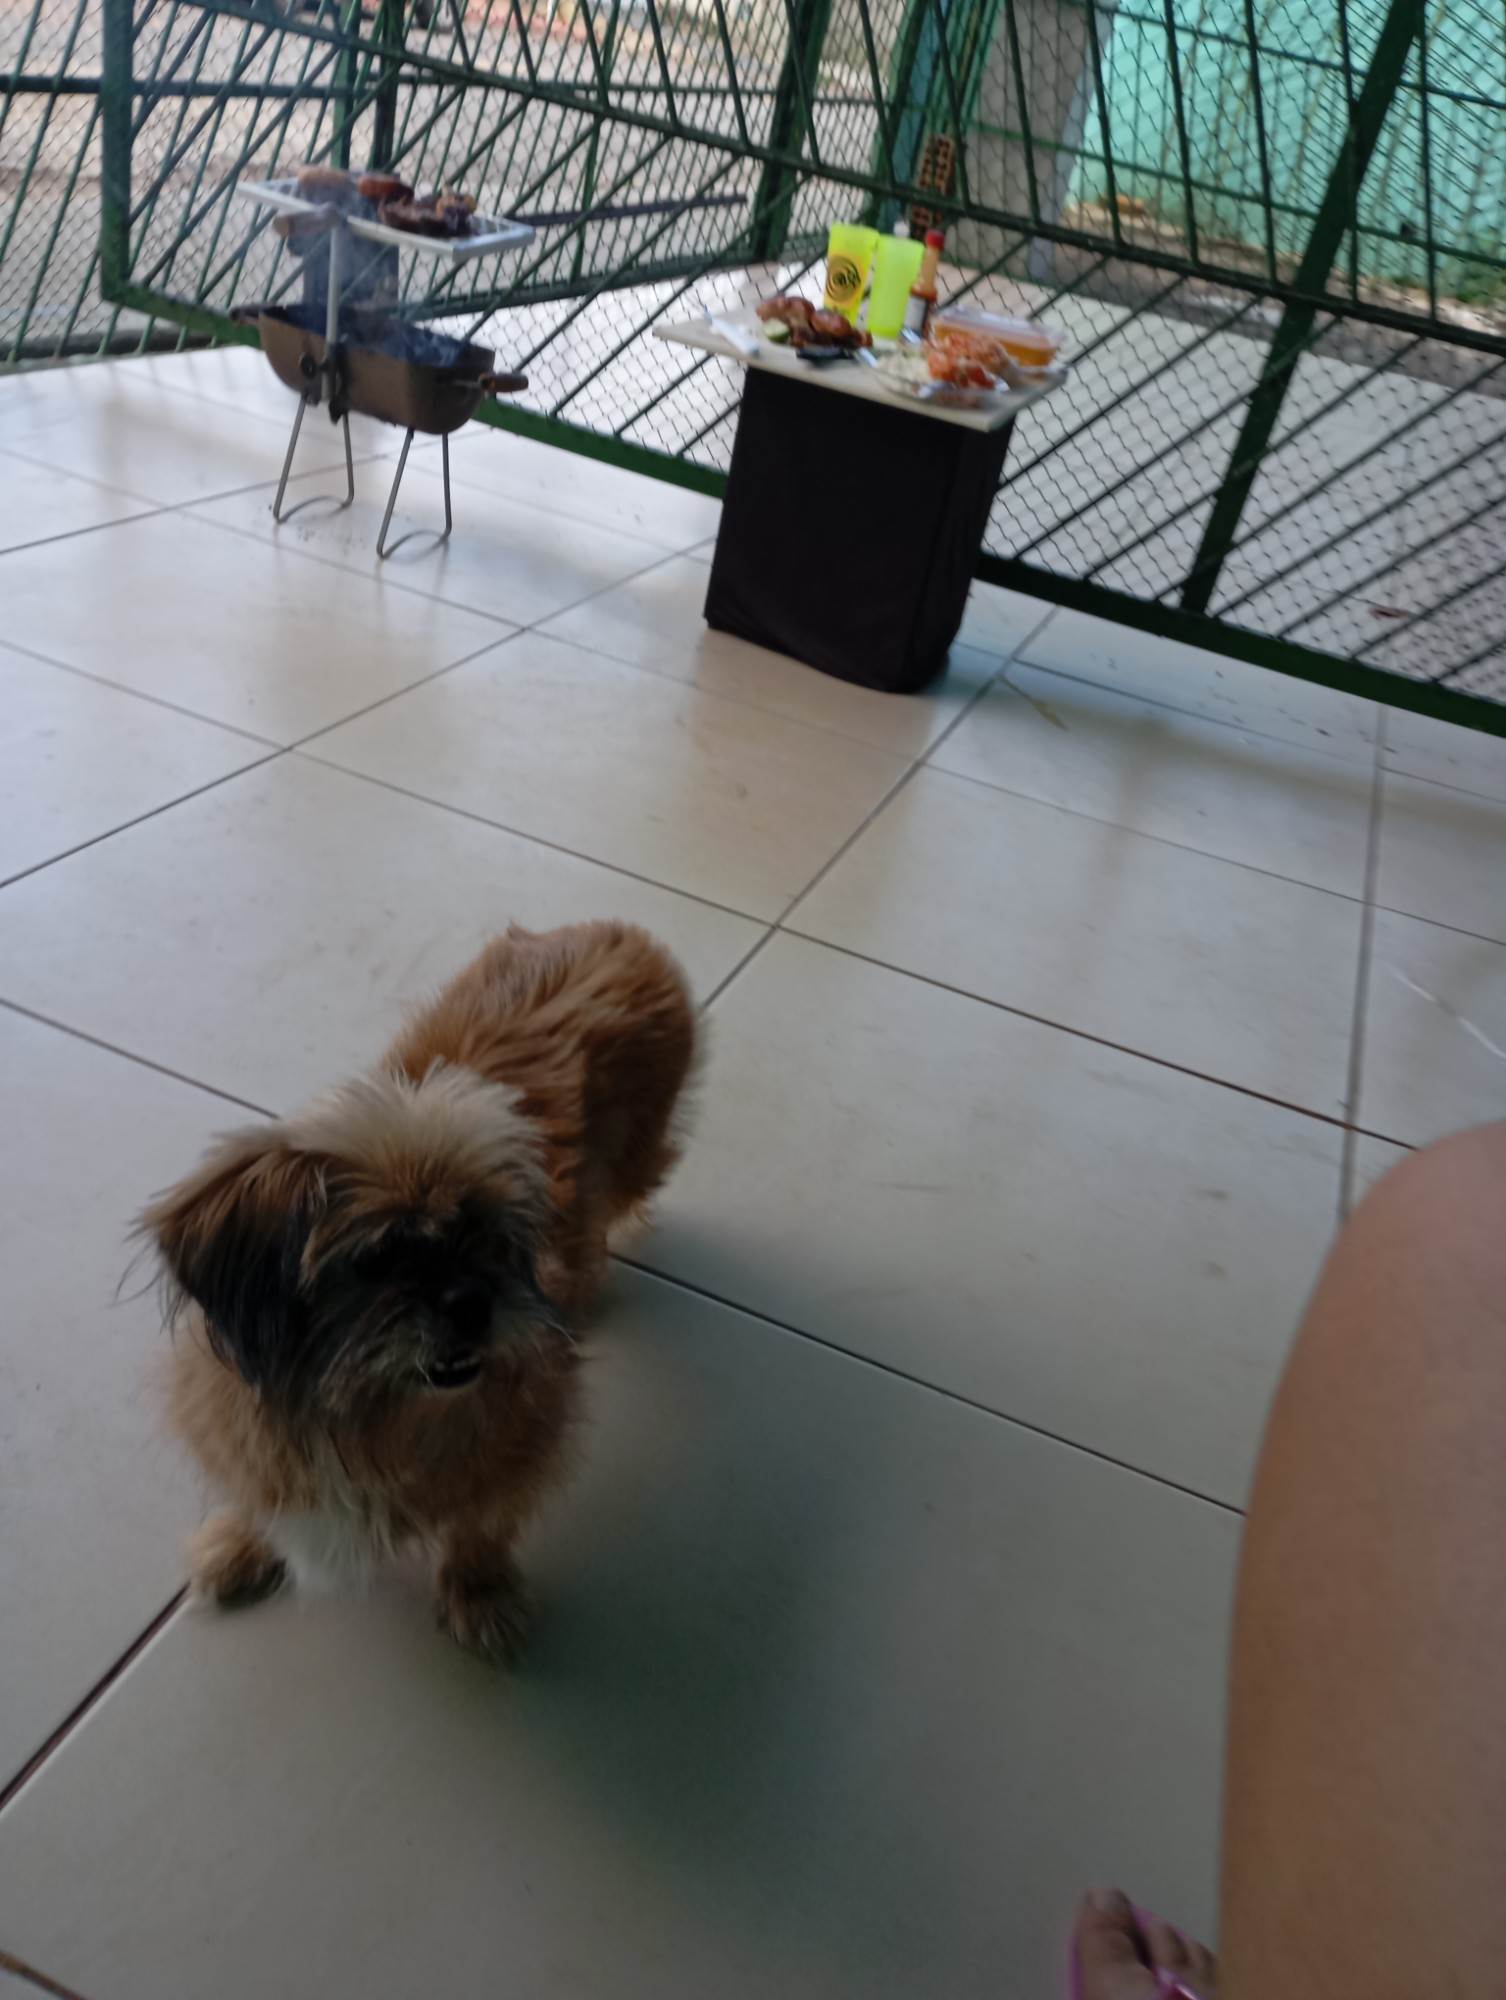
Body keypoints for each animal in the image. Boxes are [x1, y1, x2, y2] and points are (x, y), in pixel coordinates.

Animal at [142, 920, 697, 1662]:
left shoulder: (522, 1446)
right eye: (381, 1257)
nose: (472, 1302)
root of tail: (618, 931)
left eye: (488, 1239)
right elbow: (263, 1490)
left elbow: (481, 1525)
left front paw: (478, 1593)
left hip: (640, 1156)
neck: (365, 1413)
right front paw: (239, 1542)